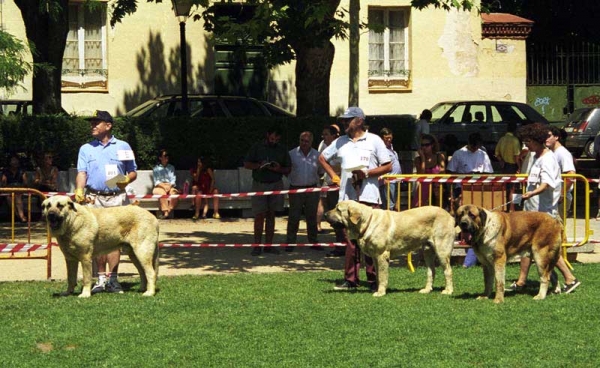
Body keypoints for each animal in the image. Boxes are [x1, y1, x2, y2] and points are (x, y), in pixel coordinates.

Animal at [324, 200, 454, 298]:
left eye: (338, 209)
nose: (325, 214)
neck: (367, 222)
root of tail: (449, 215)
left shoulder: (382, 255)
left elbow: (382, 275)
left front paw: (380, 292)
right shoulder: (375, 257)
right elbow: (378, 275)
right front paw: (377, 289)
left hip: (441, 250)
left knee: (448, 270)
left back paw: (448, 290)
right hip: (427, 252)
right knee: (431, 271)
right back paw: (426, 289)